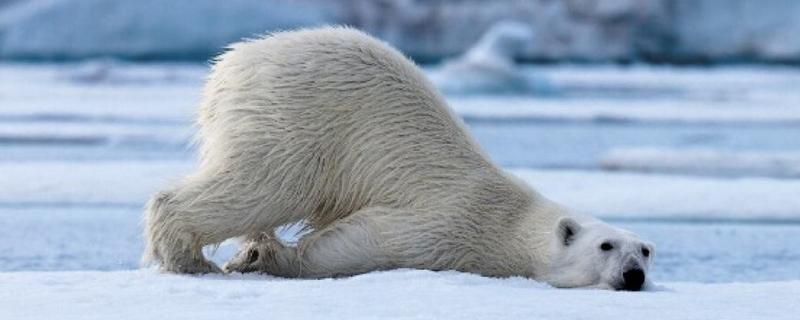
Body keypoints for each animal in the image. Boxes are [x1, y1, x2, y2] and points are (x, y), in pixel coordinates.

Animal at [144, 26, 652, 290]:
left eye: (646, 249)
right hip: (293, 120)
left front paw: (257, 252)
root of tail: (230, 64)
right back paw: (190, 260)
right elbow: (365, 241)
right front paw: (267, 258)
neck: (509, 219)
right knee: (263, 186)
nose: (634, 274)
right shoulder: (447, 224)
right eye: (606, 246)